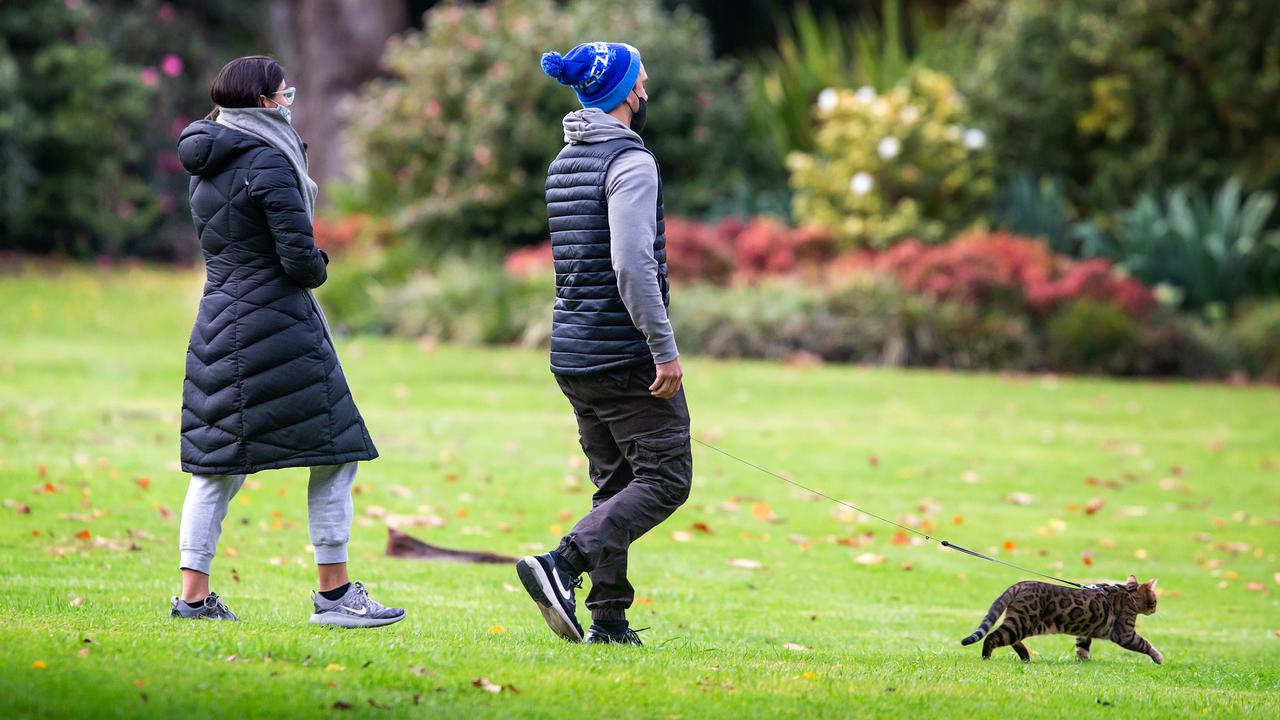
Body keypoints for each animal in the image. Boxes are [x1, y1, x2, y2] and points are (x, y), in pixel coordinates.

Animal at [962, 571, 1162, 661]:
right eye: (1155, 600)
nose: (1155, 609)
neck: (1129, 594)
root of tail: (1021, 584)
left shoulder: (1084, 633)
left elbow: (1082, 649)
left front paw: (1083, 662)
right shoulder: (1124, 633)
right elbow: (1145, 644)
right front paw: (1159, 658)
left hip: (1018, 622)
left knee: (1010, 639)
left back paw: (1025, 656)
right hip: (1022, 622)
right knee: (992, 637)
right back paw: (986, 658)